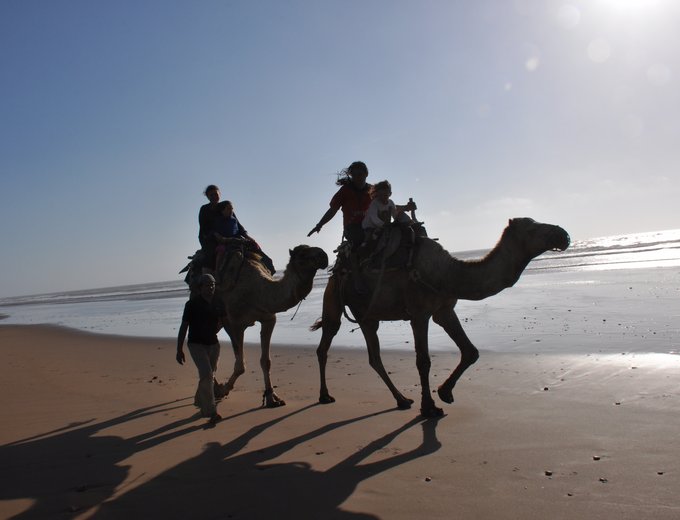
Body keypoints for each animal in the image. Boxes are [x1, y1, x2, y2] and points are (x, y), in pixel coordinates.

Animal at [215, 246, 326, 408]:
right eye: (302, 254)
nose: (324, 255)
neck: (257, 292)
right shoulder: (235, 323)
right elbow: (240, 365)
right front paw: (223, 389)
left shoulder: (268, 319)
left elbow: (266, 361)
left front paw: (272, 398)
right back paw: (214, 387)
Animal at [312, 217, 568, 416]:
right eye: (532, 229)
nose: (563, 234)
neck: (446, 273)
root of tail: (336, 269)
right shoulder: (419, 314)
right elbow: (423, 361)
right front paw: (429, 407)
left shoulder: (444, 310)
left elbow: (471, 351)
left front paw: (445, 393)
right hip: (335, 298)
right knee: (329, 340)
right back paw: (326, 396)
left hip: (368, 316)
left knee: (373, 357)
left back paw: (401, 400)